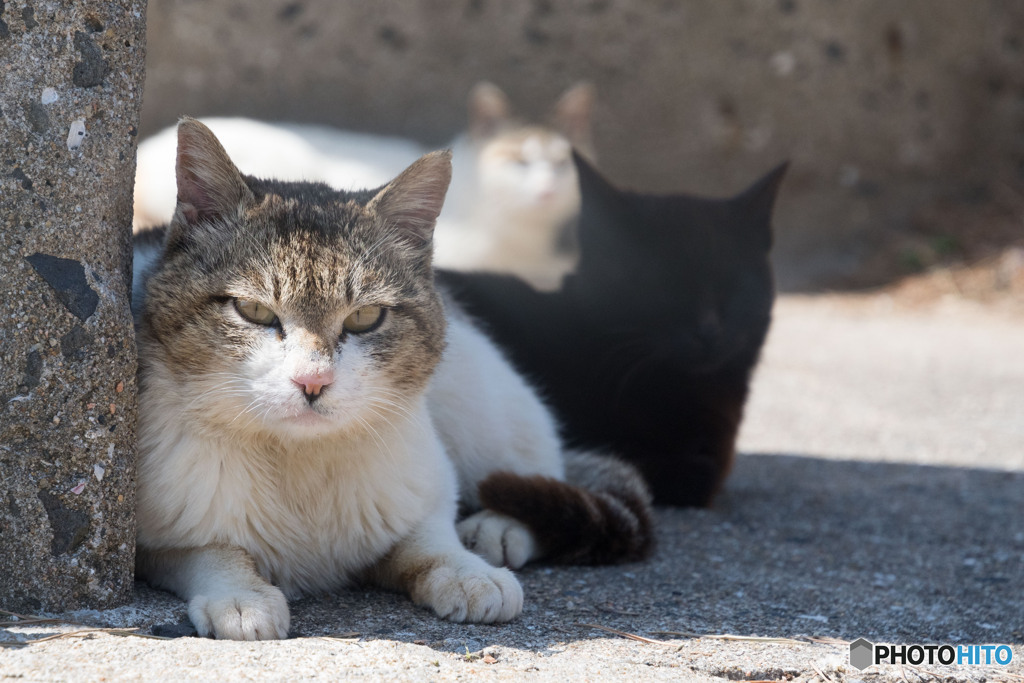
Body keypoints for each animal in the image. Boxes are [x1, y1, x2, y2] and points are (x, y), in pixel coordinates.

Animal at [134, 118, 647, 643]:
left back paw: (498, 529)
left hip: (483, 407)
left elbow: (429, 537)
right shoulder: (154, 539)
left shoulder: (421, 482)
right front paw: (241, 595)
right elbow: (209, 551)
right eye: (253, 310)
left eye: (365, 318)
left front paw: (468, 571)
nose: (313, 381)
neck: (300, 463)